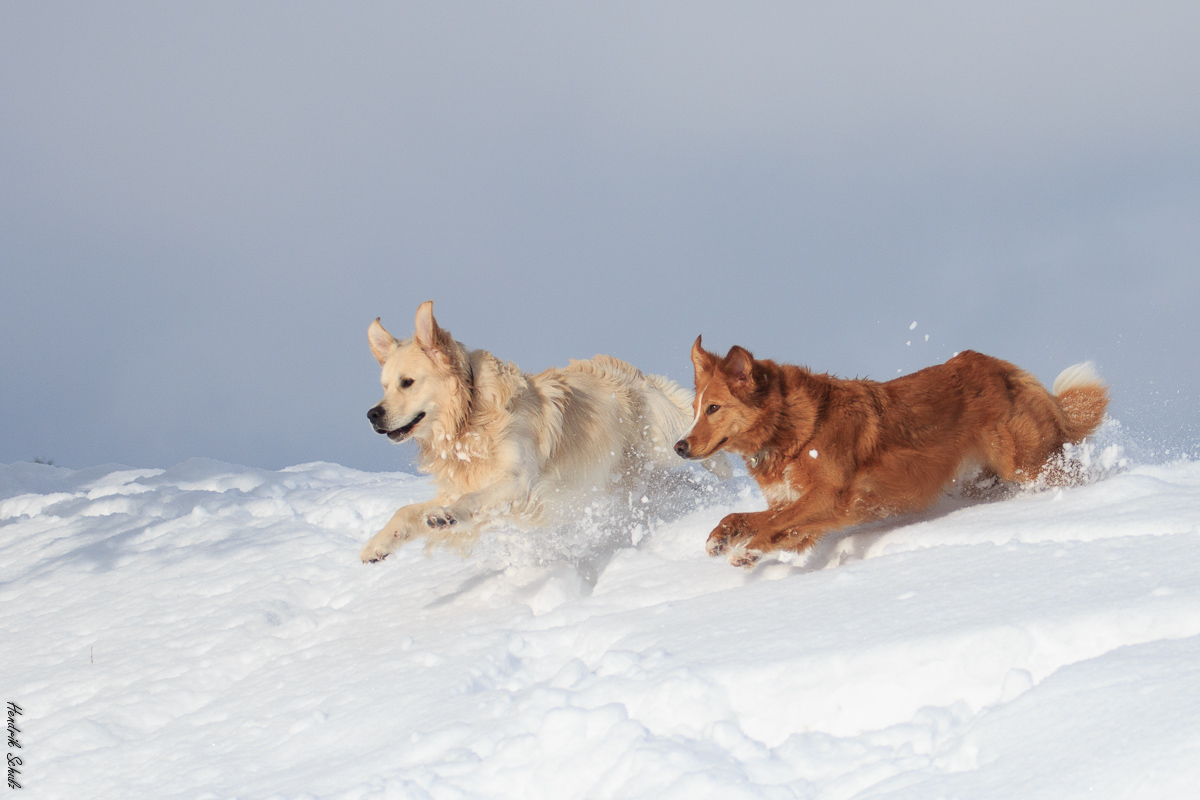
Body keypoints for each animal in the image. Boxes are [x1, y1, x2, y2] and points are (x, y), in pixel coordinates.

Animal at [360, 302, 715, 563]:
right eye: (384, 386)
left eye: (407, 382)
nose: (372, 414)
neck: (471, 419)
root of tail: (633, 372)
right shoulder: (462, 483)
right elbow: (407, 511)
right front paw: (378, 544)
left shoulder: (519, 483)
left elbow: (470, 499)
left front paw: (448, 514)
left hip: (660, 444)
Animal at [676, 340, 1104, 568]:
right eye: (695, 409)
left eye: (713, 408)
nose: (680, 447)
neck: (788, 428)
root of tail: (1000, 366)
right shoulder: (799, 506)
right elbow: (751, 519)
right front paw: (722, 538)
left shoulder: (828, 497)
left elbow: (772, 525)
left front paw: (745, 550)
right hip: (984, 477)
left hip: (1026, 464)